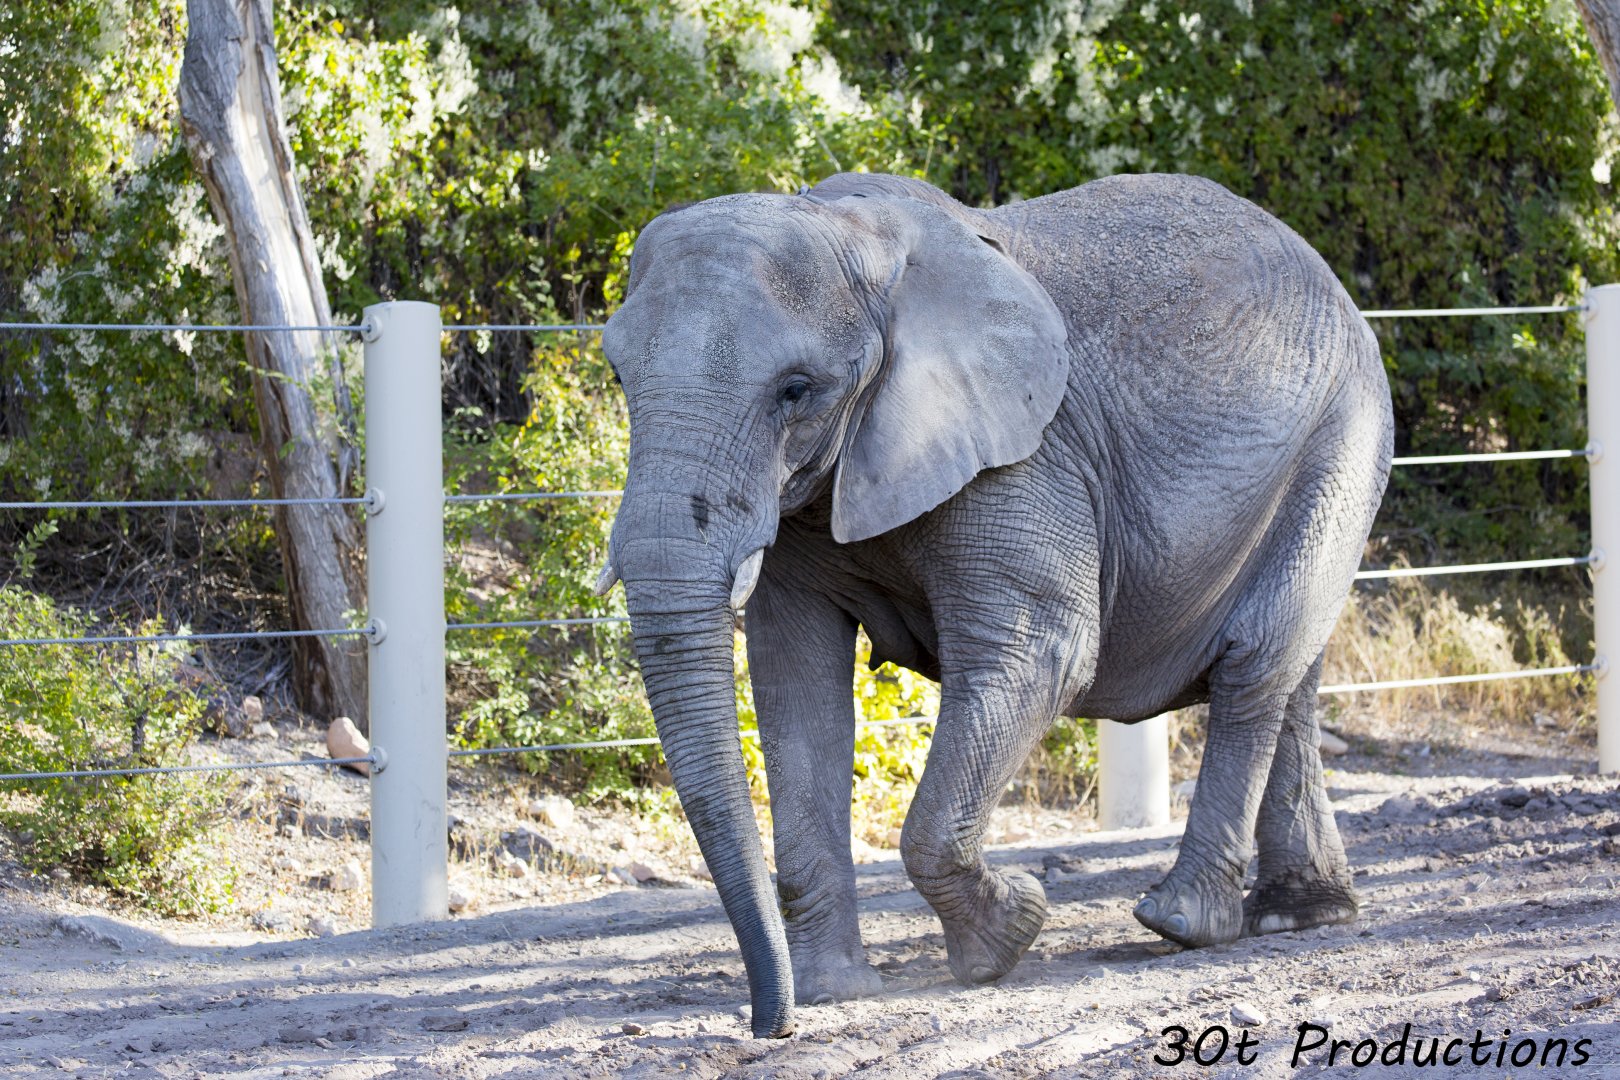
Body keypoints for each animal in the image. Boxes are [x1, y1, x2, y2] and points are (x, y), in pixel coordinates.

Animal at [595, 171, 1394, 1038]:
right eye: (621, 380)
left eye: (796, 390)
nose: (768, 1025)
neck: (860, 244)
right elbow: (795, 683)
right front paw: (836, 991)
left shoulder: (1027, 456)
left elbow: (1044, 649)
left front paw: (1008, 936)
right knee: (1290, 677)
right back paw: (1298, 916)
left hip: (1342, 436)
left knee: (1255, 664)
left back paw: (1183, 924)